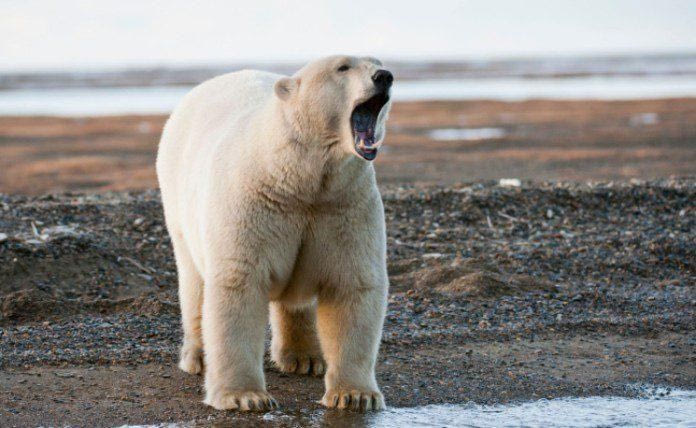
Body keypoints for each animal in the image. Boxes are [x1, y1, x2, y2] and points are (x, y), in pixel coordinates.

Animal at [156, 54, 392, 412]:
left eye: (377, 61)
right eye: (343, 67)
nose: (384, 76)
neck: (299, 178)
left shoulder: (343, 206)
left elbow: (353, 284)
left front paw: (355, 395)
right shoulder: (255, 204)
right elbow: (238, 283)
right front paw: (244, 396)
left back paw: (305, 358)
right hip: (179, 205)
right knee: (194, 282)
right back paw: (198, 356)